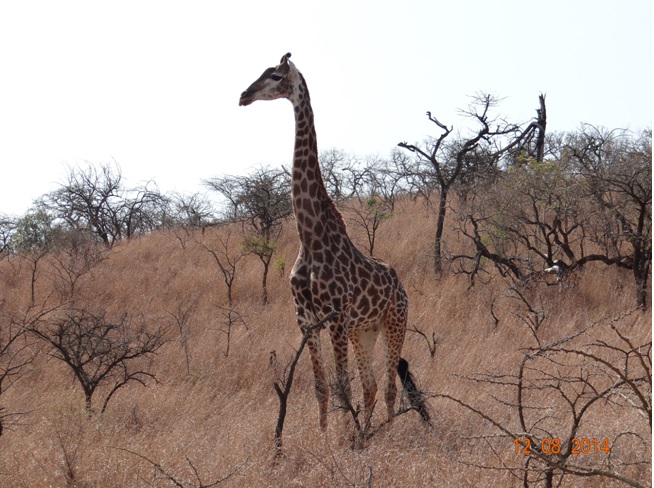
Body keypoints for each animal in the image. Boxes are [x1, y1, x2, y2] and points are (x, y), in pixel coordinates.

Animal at [241, 51, 416, 428]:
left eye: (275, 76)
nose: (243, 95)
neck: (310, 237)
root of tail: (401, 285)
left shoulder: (334, 318)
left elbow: (342, 389)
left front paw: (341, 438)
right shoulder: (307, 322)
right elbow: (323, 389)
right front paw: (327, 438)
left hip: (394, 322)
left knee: (389, 387)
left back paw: (383, 434)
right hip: (363, 330)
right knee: (371, 386)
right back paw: (366, 435)